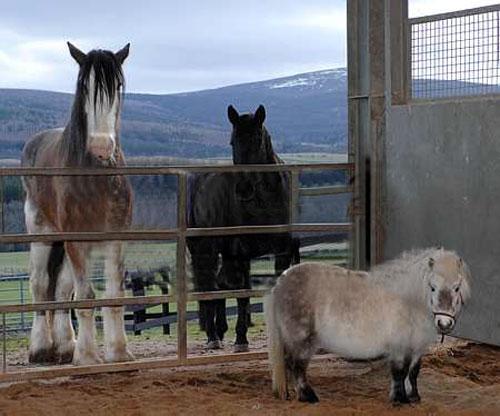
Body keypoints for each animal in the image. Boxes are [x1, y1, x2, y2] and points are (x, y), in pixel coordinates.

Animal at [21, 42, 133, 366]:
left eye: (117, 86)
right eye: (85, 87)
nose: (101, 147)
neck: (95, 179)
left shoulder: (116, 239)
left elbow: (113, 294)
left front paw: (118, 351)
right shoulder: (77, 241)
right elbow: (86, 296)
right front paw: (88, 356)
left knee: (61, 287)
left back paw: (64, 346)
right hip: (42, 234)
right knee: (39, 284)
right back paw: (41, 348)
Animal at [187, 104, 296, 352]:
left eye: (256, 138)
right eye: (232, 141)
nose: (243, 189)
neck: (264, 202)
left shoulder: (282, 250)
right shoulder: (241, 252)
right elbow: (242, 293)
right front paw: (241, 340)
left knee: (219, 283)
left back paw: (219, 330)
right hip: (205, 249)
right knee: (209, 285)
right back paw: (213, 336)